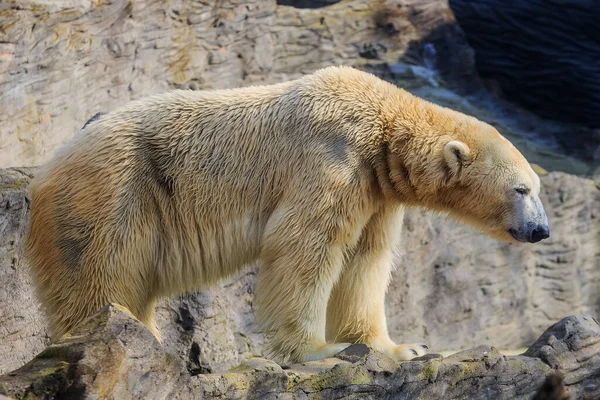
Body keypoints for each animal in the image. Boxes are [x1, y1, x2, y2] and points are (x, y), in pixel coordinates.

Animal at [27, 66, 548, 362]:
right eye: (521, 188)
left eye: (537, 189)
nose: (541, 229)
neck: (383, 126)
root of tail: (52, 164)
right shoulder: (330, 160)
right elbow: (306, 249)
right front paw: (322, 350)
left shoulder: (376, 191)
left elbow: (366, 259)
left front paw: (401, 346)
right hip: (116, 190)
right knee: (100, 274)